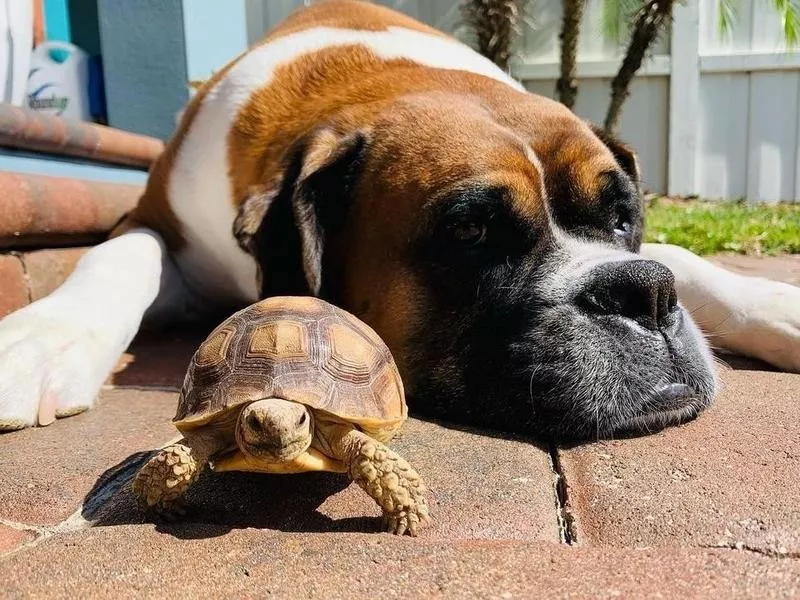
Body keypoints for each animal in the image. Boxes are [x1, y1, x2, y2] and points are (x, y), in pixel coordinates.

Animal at [0, 1, 796, 440]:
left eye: (624, 216)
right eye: (471, 232)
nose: (644, 294)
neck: (363, 79)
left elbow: (687, 258)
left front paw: (774, 304)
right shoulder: (153, 218)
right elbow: (118, 256)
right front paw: (40, 341)